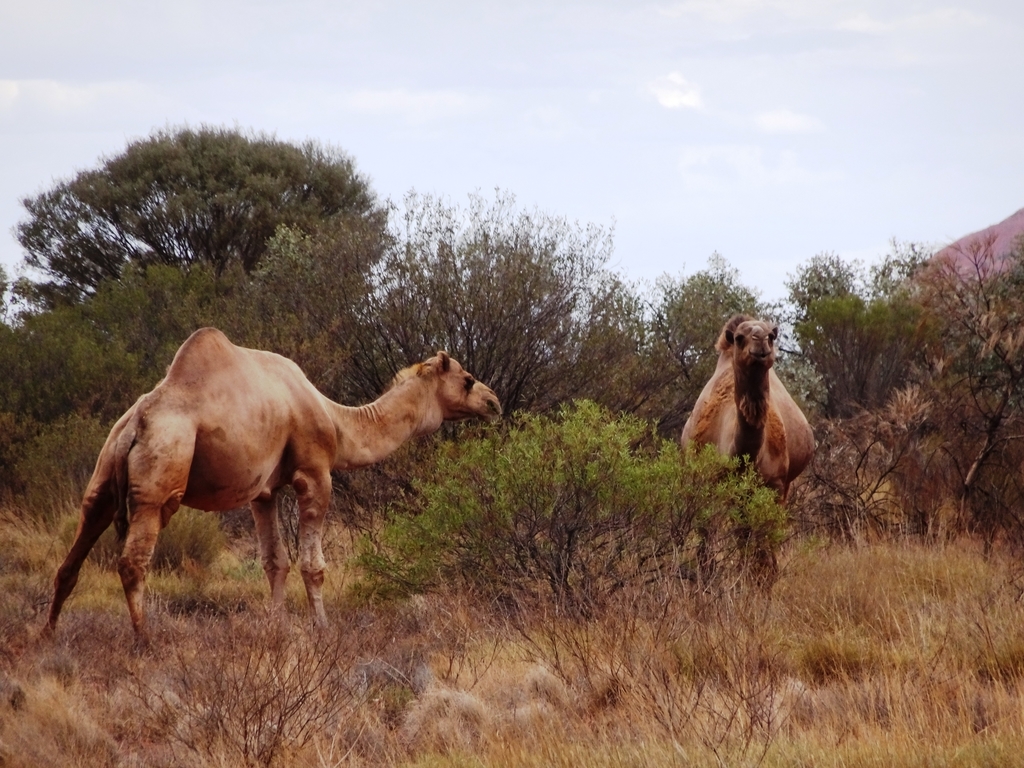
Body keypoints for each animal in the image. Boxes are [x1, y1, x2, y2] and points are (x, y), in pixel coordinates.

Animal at [46, 327, 501, 638]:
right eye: (467, 379)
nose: (494, 402)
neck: (337, 421)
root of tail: (134, 425)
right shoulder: (314, 474)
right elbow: (312, 565)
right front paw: (323, 629)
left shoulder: (263, 492)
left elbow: (274, 561)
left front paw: (277, 626)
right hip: (158, 481)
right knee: (133, 560)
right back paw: (145, 639)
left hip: (104, 474)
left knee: (74, 552)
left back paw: (49, 632)